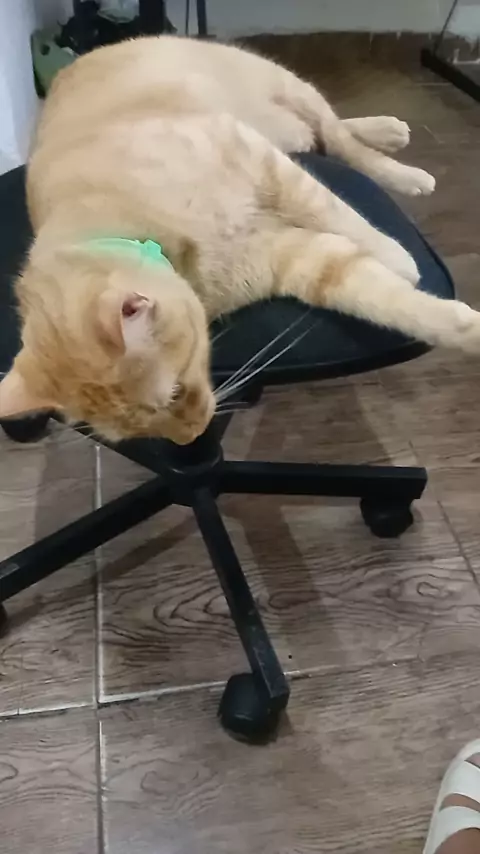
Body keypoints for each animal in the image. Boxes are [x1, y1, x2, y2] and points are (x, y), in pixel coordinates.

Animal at [0, 35, 477, 445]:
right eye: (140, 435)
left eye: (174, 393)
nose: (190, 438)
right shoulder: (298, 259)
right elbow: (386, 300)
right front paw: (465, 327)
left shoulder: (263, 163)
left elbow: (337, 212)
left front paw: (398, 256)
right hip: (288, 132)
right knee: (323, 138)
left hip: (285, 90)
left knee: (340, 138)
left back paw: (400, 160)